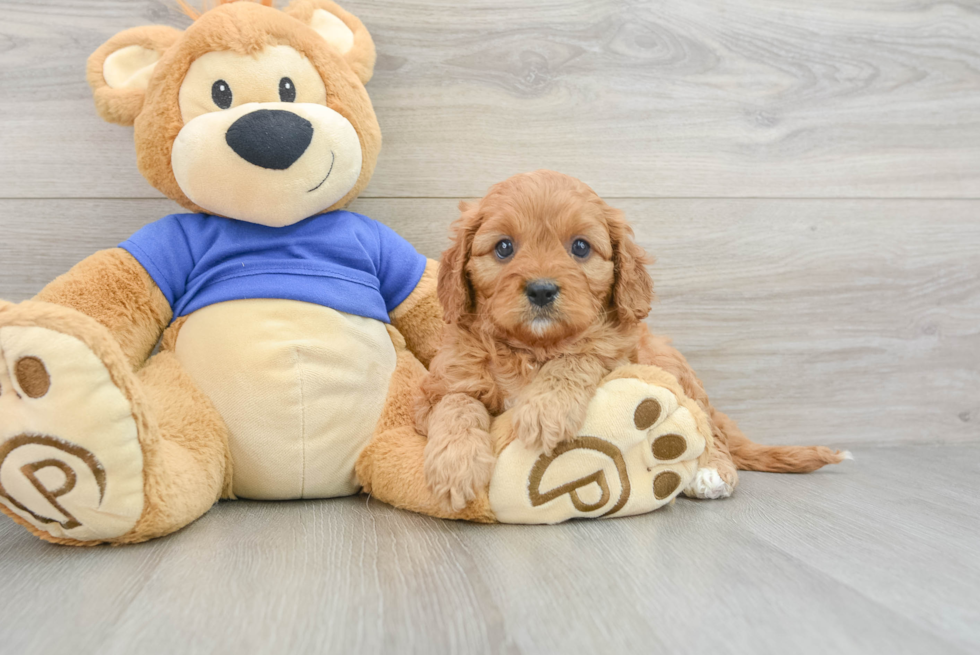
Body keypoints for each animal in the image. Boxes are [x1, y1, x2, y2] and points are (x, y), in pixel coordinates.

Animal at [418, 172, 848, 510]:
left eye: (580, 247)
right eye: (504, 247)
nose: (541, 290)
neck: (535, 348)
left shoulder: (616, 355)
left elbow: (580, 356)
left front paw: (545, 410)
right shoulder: (438, 387)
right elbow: (456, 404)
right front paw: (455, 465)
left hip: (671, 366)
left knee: (708, 426)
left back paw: (712, 471)